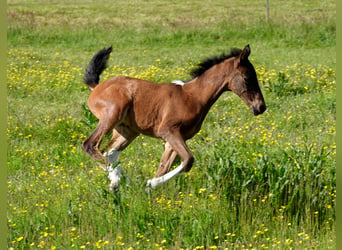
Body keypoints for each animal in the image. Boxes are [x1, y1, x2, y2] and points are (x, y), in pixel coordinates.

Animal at [81, 44, 266, 189]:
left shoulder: (173, 140)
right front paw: (150, 183)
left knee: (108, 153)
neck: (193, 97)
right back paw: (117, 179)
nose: (261, 107)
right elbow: (188, 160)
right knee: (90, 145)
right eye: (247, 77)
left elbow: (165, 167)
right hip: (112, 115)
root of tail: (96, 87)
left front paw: (149, 190)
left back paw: (122, 182)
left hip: (128, 131)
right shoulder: (168, 131)